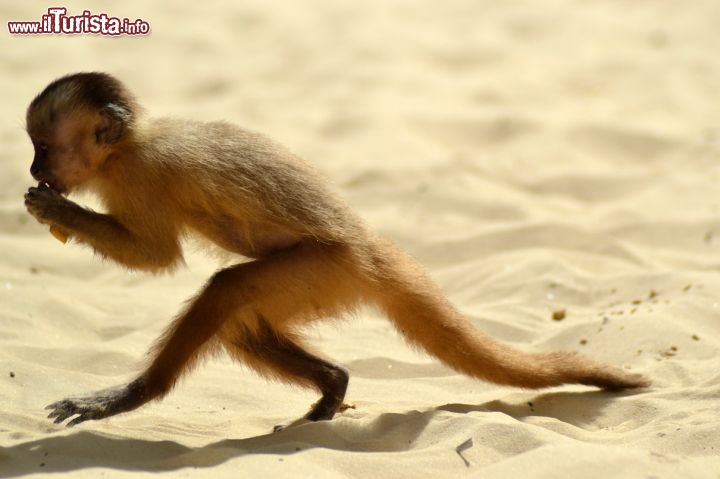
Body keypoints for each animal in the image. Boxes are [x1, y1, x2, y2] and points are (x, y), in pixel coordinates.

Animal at [23, 73, 652, 430]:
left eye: (43, 147)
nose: (31, 169)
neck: (127, 147)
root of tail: (372, 246)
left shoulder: (144, 175)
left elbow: (158, 258)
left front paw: (60, 212)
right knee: (239, 320)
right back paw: (332, 383)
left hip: (329, 270)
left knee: (227, 290)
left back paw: (135, 396)